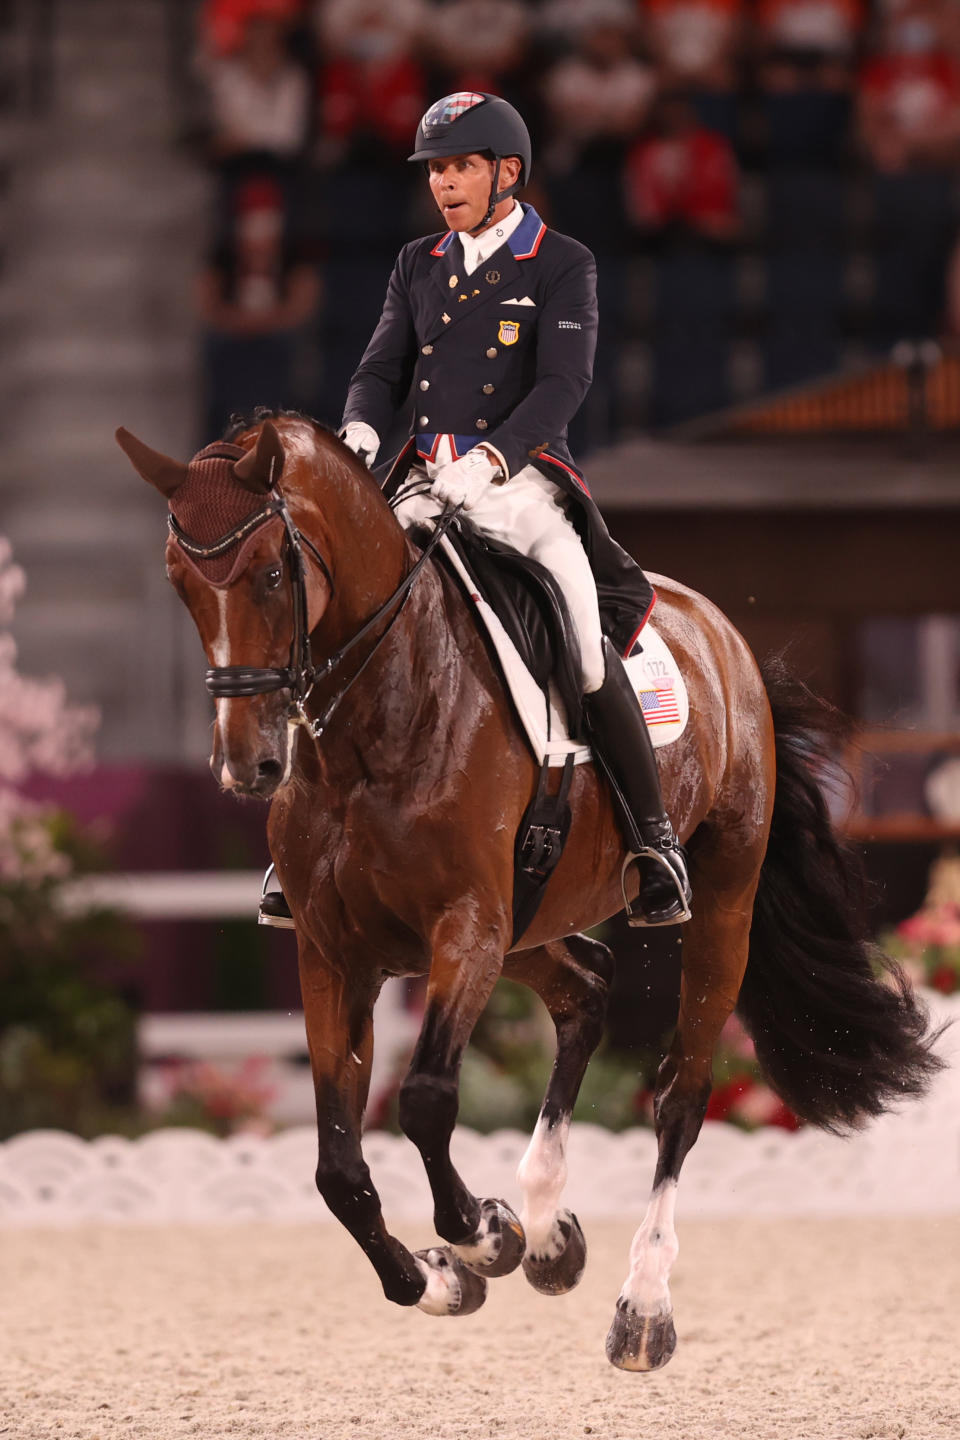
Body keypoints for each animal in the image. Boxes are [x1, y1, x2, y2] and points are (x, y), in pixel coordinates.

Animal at [116, 408, 944, 1370]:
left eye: (273, 572)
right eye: (180, 582)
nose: (244, 765)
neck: (380, 717)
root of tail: (720, 631)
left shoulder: (466, 928)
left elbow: (426, 1099)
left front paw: (482, 1236)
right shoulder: (337, 953)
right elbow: (337, 1166)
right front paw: (441, 1278)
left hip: (716, 904)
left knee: (681, 1092)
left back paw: (641, 1306)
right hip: (530, 923)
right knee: (585, 987)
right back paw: (552, 1232)